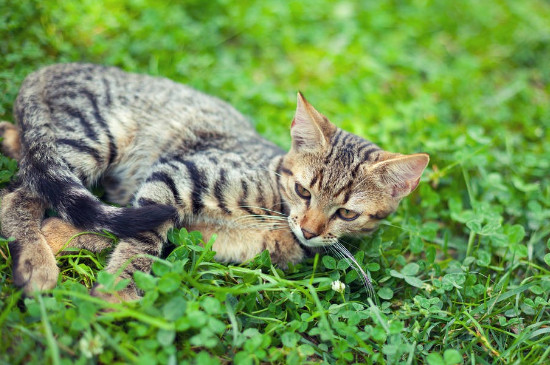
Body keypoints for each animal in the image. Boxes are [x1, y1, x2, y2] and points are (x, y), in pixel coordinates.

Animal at [0, 63, 432, 302]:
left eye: (346, 213)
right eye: (303, 191)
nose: (309, 231)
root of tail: (51, 69)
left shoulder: (177, 222)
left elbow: (105, 227)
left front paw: (64, 237)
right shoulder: (174, 178)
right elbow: (140, 239)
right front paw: (117, 292)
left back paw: (9, 138)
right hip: (96, 139)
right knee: (19, 196)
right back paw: (36, 258)